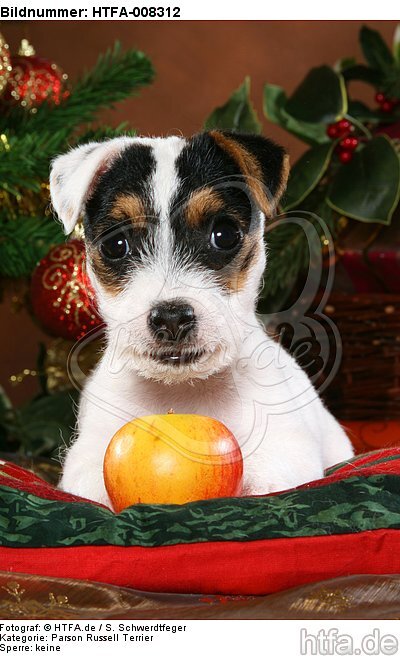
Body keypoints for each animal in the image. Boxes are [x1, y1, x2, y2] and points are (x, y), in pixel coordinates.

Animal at [50, 129, 354, 508]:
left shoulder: (289, 447)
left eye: (224, 235)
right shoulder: (88, 452)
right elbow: (91, 483)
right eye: (116, 245)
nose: (171, 318)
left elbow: (269, 479)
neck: (183, 393)